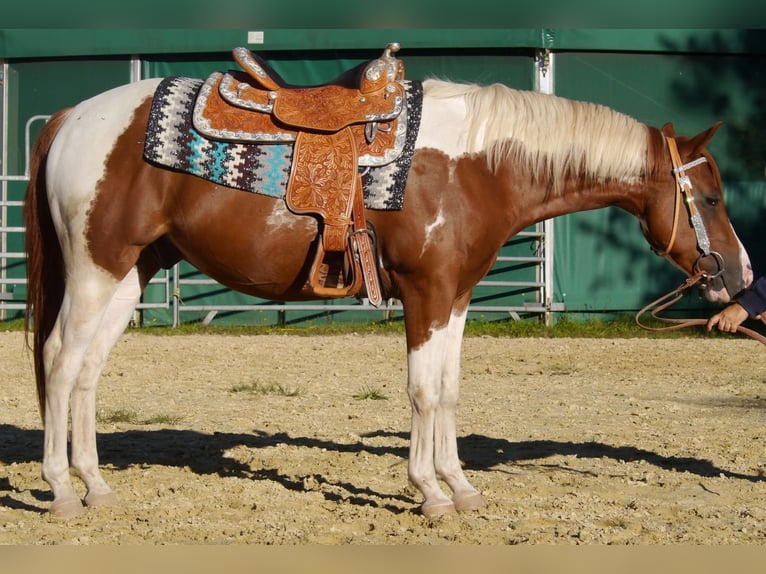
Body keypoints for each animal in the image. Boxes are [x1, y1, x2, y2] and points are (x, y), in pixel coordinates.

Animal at [24, 58, 752, 520]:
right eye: (712, 197)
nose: (740, 275)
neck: (477, 165)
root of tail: (70, 118)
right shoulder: (428, 294)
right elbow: (423, 391)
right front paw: (431, 493)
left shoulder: (455, 296)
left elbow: (448, 390)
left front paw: (460, 487)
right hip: (94, 269)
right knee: (60, 360)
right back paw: (61, 491)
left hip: (129, 274)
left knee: (87, 370)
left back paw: (97, 487)